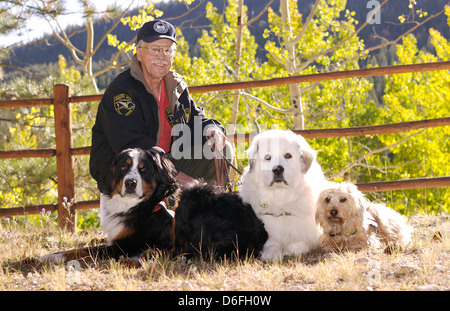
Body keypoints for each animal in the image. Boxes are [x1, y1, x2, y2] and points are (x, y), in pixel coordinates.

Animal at [39, 147, 268, 264]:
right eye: (123, 167)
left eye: (144, 169)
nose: (131, 183)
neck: (141, 204)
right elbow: (84, 246)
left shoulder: (124, 245)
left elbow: (84, 250)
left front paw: (50, 256)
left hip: (197, 197)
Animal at [241, 130, 326, 262]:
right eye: (268, 158)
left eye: (288, 155)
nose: (277, 169)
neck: (281, 200)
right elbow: (272, 244)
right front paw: (272, 254)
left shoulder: (313, 235)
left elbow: (299, 244)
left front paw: (287, 250)